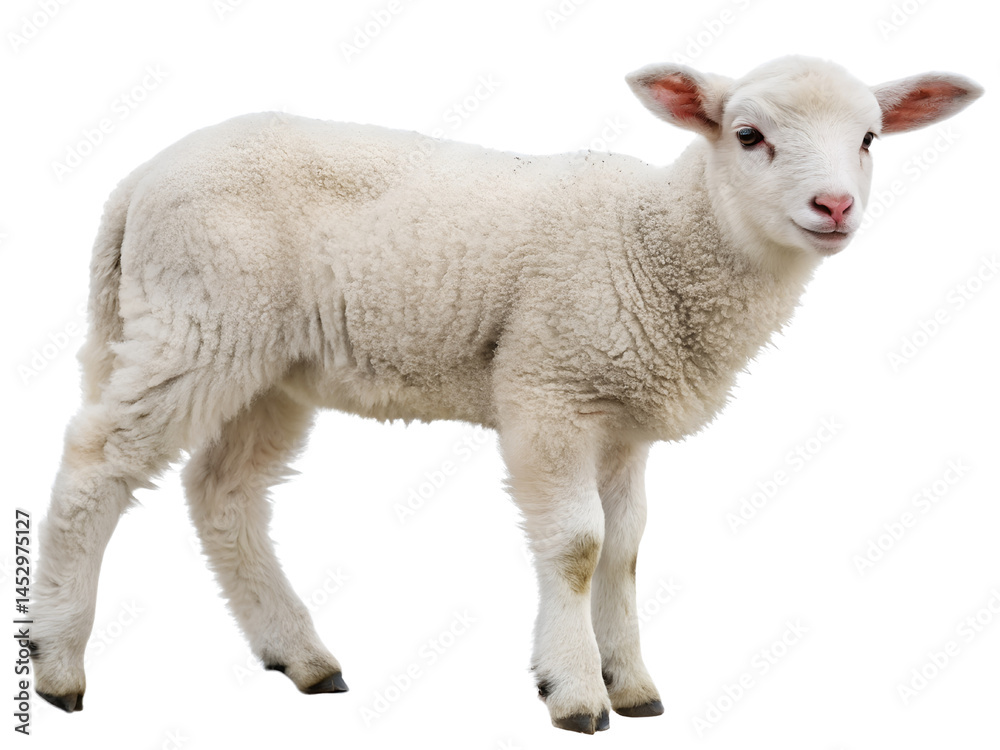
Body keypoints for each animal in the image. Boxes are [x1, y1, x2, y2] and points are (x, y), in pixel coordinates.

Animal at [30, 55, 982, 732]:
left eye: (870, 138)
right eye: (748, 135)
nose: (835, 206)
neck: (657, 240)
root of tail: (138, 181)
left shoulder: (623, 417)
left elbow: (627, 549)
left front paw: (632, 682)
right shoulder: (549, 387)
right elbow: (578, 546)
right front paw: (575, 691)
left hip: (269, 363)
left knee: (222, 493)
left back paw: (301, 656)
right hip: (199, 320)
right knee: (95, 464)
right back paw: (59, 666)